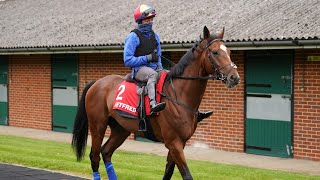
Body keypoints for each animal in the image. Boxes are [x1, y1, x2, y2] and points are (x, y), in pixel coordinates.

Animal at [71, 26, 239, 179]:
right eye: (215, 52)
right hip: (97, 126)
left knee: (106, 152)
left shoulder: (180, 143)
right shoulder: (173, 142)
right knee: (94, 156)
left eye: (229, 52)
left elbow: (168, 172)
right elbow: (186, 175)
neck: (178, 95)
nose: (234, 77)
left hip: (121, 128)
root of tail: (96, 83)